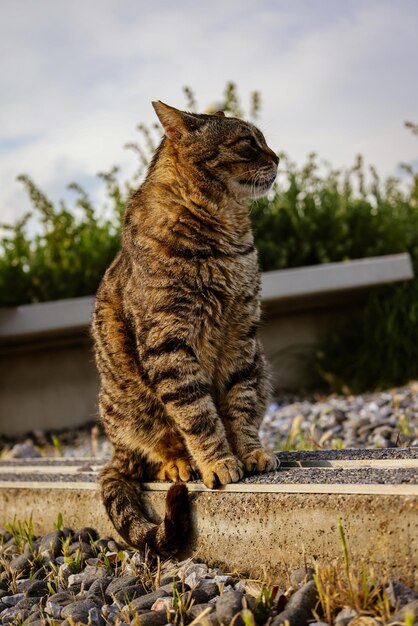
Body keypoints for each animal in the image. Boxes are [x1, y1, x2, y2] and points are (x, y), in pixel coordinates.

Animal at [92, 102, 280, 556]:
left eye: (263, 140)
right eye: (248, 143)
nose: (278, 158)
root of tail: (114, 451)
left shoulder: (241, 336)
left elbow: (240, 404)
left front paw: (250, 452)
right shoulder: (170, 343)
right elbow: (198, 414)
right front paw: (217, 462)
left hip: (262, 365)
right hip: (128, 408)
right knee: (151, 455)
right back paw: (178, 464)